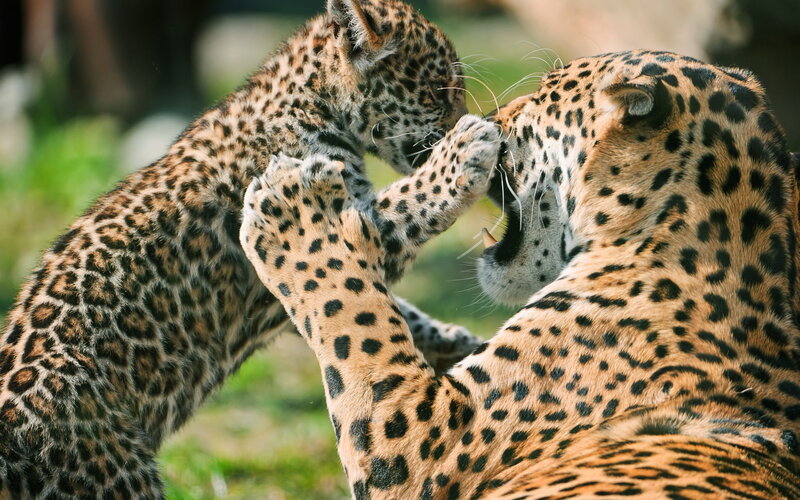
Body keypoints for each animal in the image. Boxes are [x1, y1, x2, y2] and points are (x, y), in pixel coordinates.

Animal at [0, 0, 504, 497]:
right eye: (440, 92)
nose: (468, 120)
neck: (310, 101)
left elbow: (369, 305)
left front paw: (453, 342)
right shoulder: (340, 221)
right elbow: (403, 206)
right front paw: (463, 151)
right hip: (117, 473)